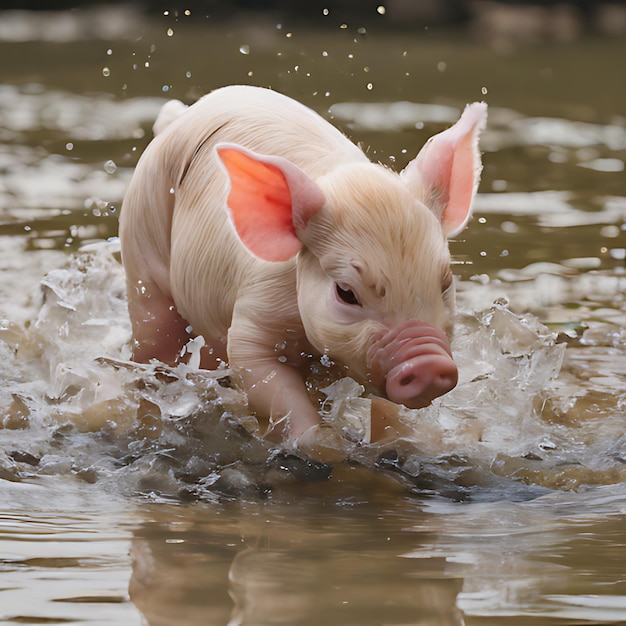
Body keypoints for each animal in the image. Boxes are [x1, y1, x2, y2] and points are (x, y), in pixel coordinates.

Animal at [119, 84, 486, 444]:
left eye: (445, 282)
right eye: (346, 293)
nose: (429, 364)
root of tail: (176, 118)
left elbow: (386, 411)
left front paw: (404, 441)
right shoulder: (256, 311)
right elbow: (261, 374)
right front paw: (324, 444)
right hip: (141, 253)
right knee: (155, 342)